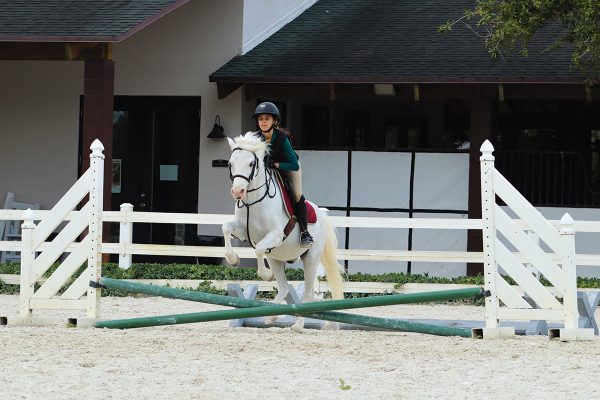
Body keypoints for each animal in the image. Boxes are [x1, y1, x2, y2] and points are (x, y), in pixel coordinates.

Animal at [221, 133, 344, 330]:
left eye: (251, 163)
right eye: (230, 163)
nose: (238, 191)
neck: (254, 201)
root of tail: (322, 215)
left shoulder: (276, 236)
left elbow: (258, 249)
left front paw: (266, 275)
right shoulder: (242, 231)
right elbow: (226, 228)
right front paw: (233, 259)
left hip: (310, 258)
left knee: (308, 293)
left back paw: (298, 325)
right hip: (276, 258)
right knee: (285, 287)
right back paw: (271, 317)